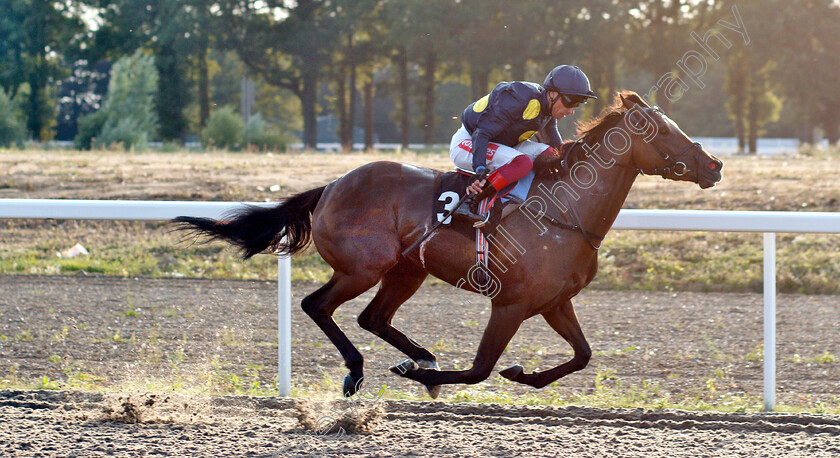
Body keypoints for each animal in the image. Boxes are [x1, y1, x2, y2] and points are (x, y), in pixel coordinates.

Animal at [172, 92, 720, 398]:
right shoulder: (510, 303)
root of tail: (330, 186)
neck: (564, 211)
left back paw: (423, 360)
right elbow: (479, 370)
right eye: (660, 129)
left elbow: (583, 355)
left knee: (373, 318)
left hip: (407, 270)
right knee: (318, 306)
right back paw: (362, 371)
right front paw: (427, 377)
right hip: (363, 267)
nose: (712, 164)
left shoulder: (554, 301)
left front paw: (522, 375)